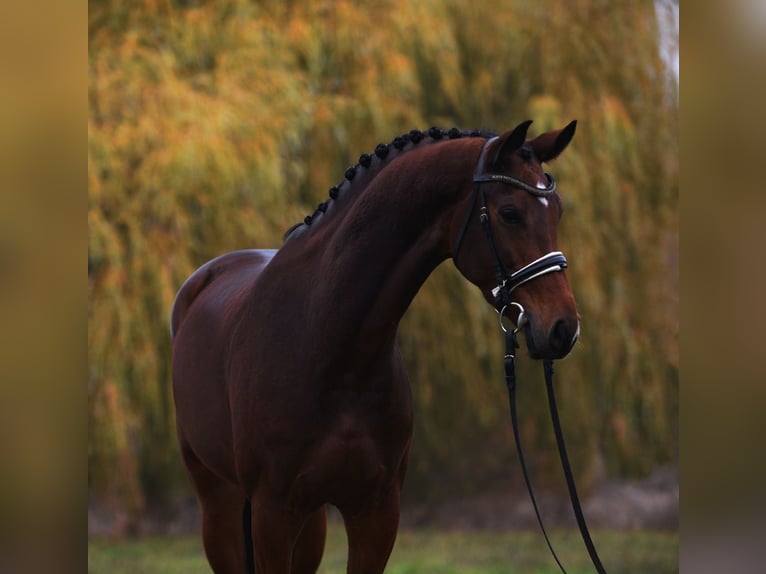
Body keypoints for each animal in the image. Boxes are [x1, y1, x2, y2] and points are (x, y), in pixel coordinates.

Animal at [172, 119, 584, 572]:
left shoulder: (376, 512)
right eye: (510, 214)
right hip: (220, 504)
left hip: (311, 521)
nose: (563, 328)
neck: (331, 348)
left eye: (558, 210)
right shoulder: (273, 514)